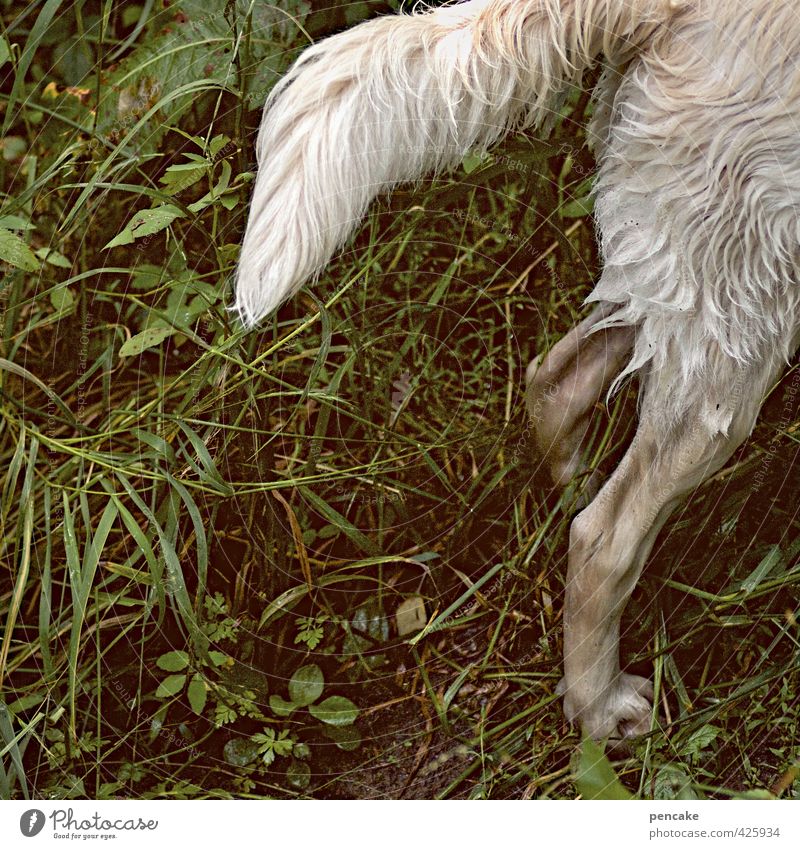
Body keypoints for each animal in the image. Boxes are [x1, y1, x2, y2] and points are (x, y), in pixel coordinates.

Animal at [231, 0, 800, 744]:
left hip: (686, 271)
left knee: (553, 382)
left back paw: (571, 489)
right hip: (740, 331)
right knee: (603, 536)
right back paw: (599, 707)